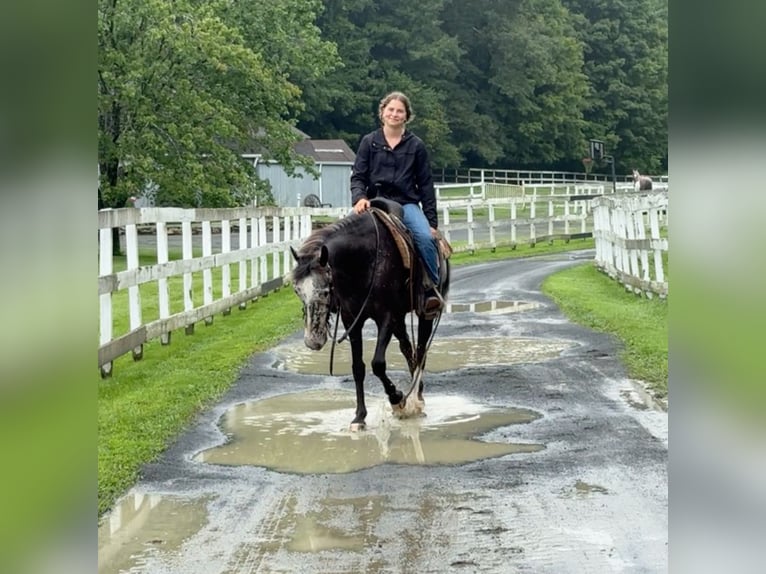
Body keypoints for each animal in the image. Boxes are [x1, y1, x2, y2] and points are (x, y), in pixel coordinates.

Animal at [292, 202, 452, 432]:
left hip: (424, 314)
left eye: (324, 291)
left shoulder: (385, 317)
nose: (313, 341)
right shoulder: (353, 321)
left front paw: (397, 399)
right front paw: (359, 417)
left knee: (421, 351)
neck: (364, 261)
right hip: (399, 320)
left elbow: (378, 363)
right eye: (297, 291)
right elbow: (358, 368)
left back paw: (416, 399)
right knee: (408, 349)